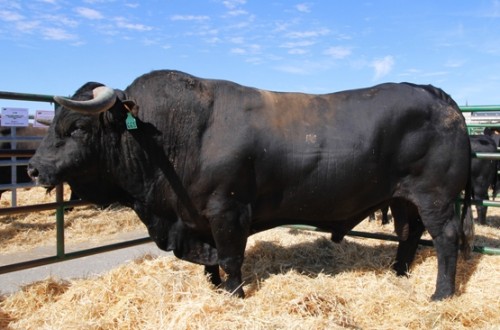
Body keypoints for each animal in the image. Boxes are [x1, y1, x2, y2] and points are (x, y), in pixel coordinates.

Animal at [27, 71, 472, 300]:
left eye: (77, 127)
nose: (32, 169)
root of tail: (436, 95)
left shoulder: (227, 211)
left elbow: (229, 258)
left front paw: (233, 295)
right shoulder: (195, 219)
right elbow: (209, 260)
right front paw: (212, 287)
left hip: (435, 196)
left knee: (446, 239)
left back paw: (441, 294)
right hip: (403, 198)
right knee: (409, 233)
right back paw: (397, 273)